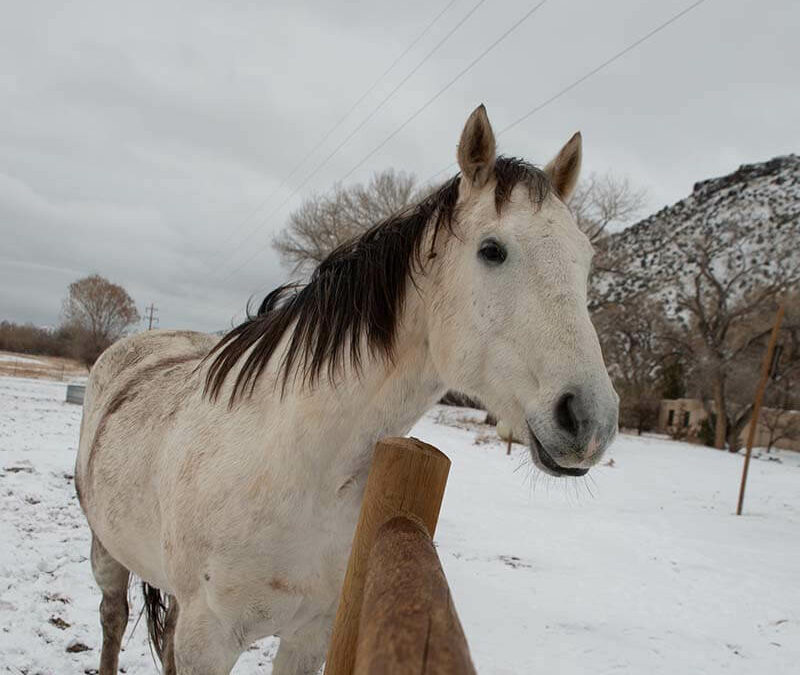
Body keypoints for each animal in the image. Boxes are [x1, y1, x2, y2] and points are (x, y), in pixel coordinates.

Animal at [75, 104, 620, 672]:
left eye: (586, 261)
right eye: (492, 251)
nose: (589, 420)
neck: (291, 466)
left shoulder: (309, 635)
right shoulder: (210, 640)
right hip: (105, 550)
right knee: (113, 618)